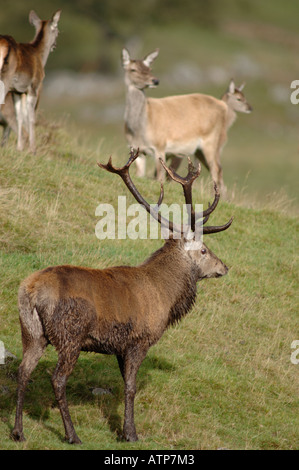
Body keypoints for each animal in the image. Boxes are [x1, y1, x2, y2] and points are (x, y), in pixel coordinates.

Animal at [0, 9, 61, 151]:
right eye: (58, 31)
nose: (55, 45)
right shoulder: (33, 87)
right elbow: (31, 118)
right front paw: (33, 149)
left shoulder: (17, 91)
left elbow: (19, 117)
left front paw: (20, 147)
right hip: (5, 78)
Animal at [11, 150, 233, 444]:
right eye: (205, 250)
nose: (225, 267)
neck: (166, 296)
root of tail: (31, 291)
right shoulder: (140, 339)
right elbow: (130, 387)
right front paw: (130, 433)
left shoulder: (119, 346)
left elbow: (123, 384)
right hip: (70, 335)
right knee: (57, 379)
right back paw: (72, 434)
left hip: (31, 332)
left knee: (23, 372)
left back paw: (18, 431)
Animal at [122, 48, 253, 191]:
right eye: (133, 69)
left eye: (150, 68)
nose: (155, 80)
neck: (139, 129)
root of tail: (222, 106)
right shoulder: (137, 150)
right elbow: (140, 175)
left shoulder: (160, 146)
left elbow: (159, 177)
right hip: (200, 150)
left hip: (211, 142)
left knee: (216, 169)